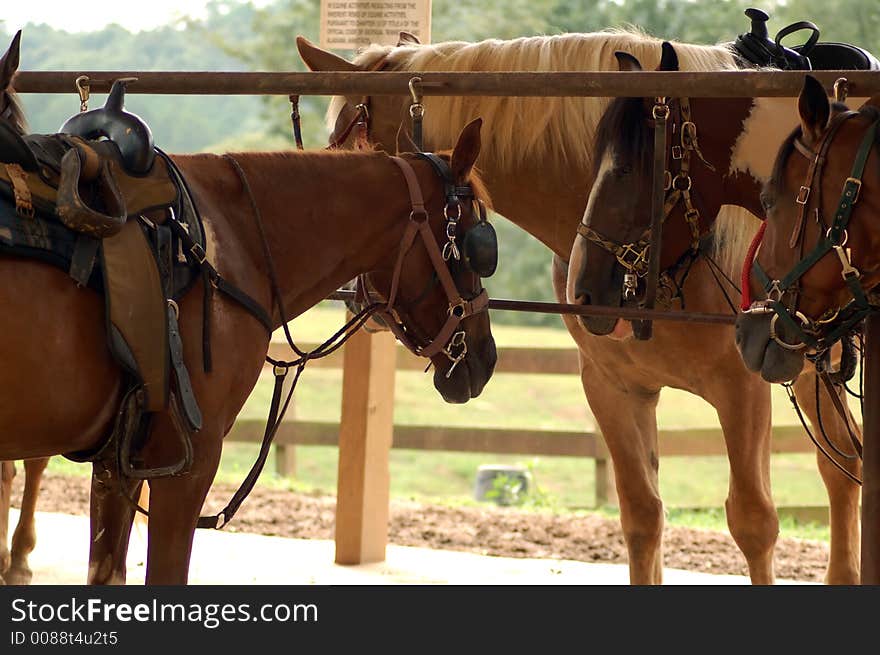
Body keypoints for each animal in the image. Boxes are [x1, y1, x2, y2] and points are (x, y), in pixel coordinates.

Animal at [300, 29, 864, 584]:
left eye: (347, 154)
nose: (360, 301)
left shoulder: (743, 391)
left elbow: (753, 522)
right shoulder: (612, 387)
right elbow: (642, 516)